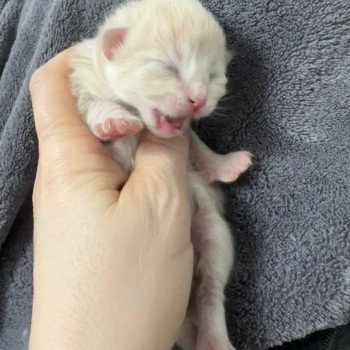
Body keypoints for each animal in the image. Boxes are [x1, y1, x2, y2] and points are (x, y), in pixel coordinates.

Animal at [68, 1, 252, 348]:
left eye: (213, 75)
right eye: (167, 67)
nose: (198, 99)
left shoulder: (187, 136)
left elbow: (197, 146)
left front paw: (224, 164)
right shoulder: (80, 81)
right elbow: (93, 105)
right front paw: (113, 121)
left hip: (213, 234)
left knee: (210, 292)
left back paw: (214, 339)